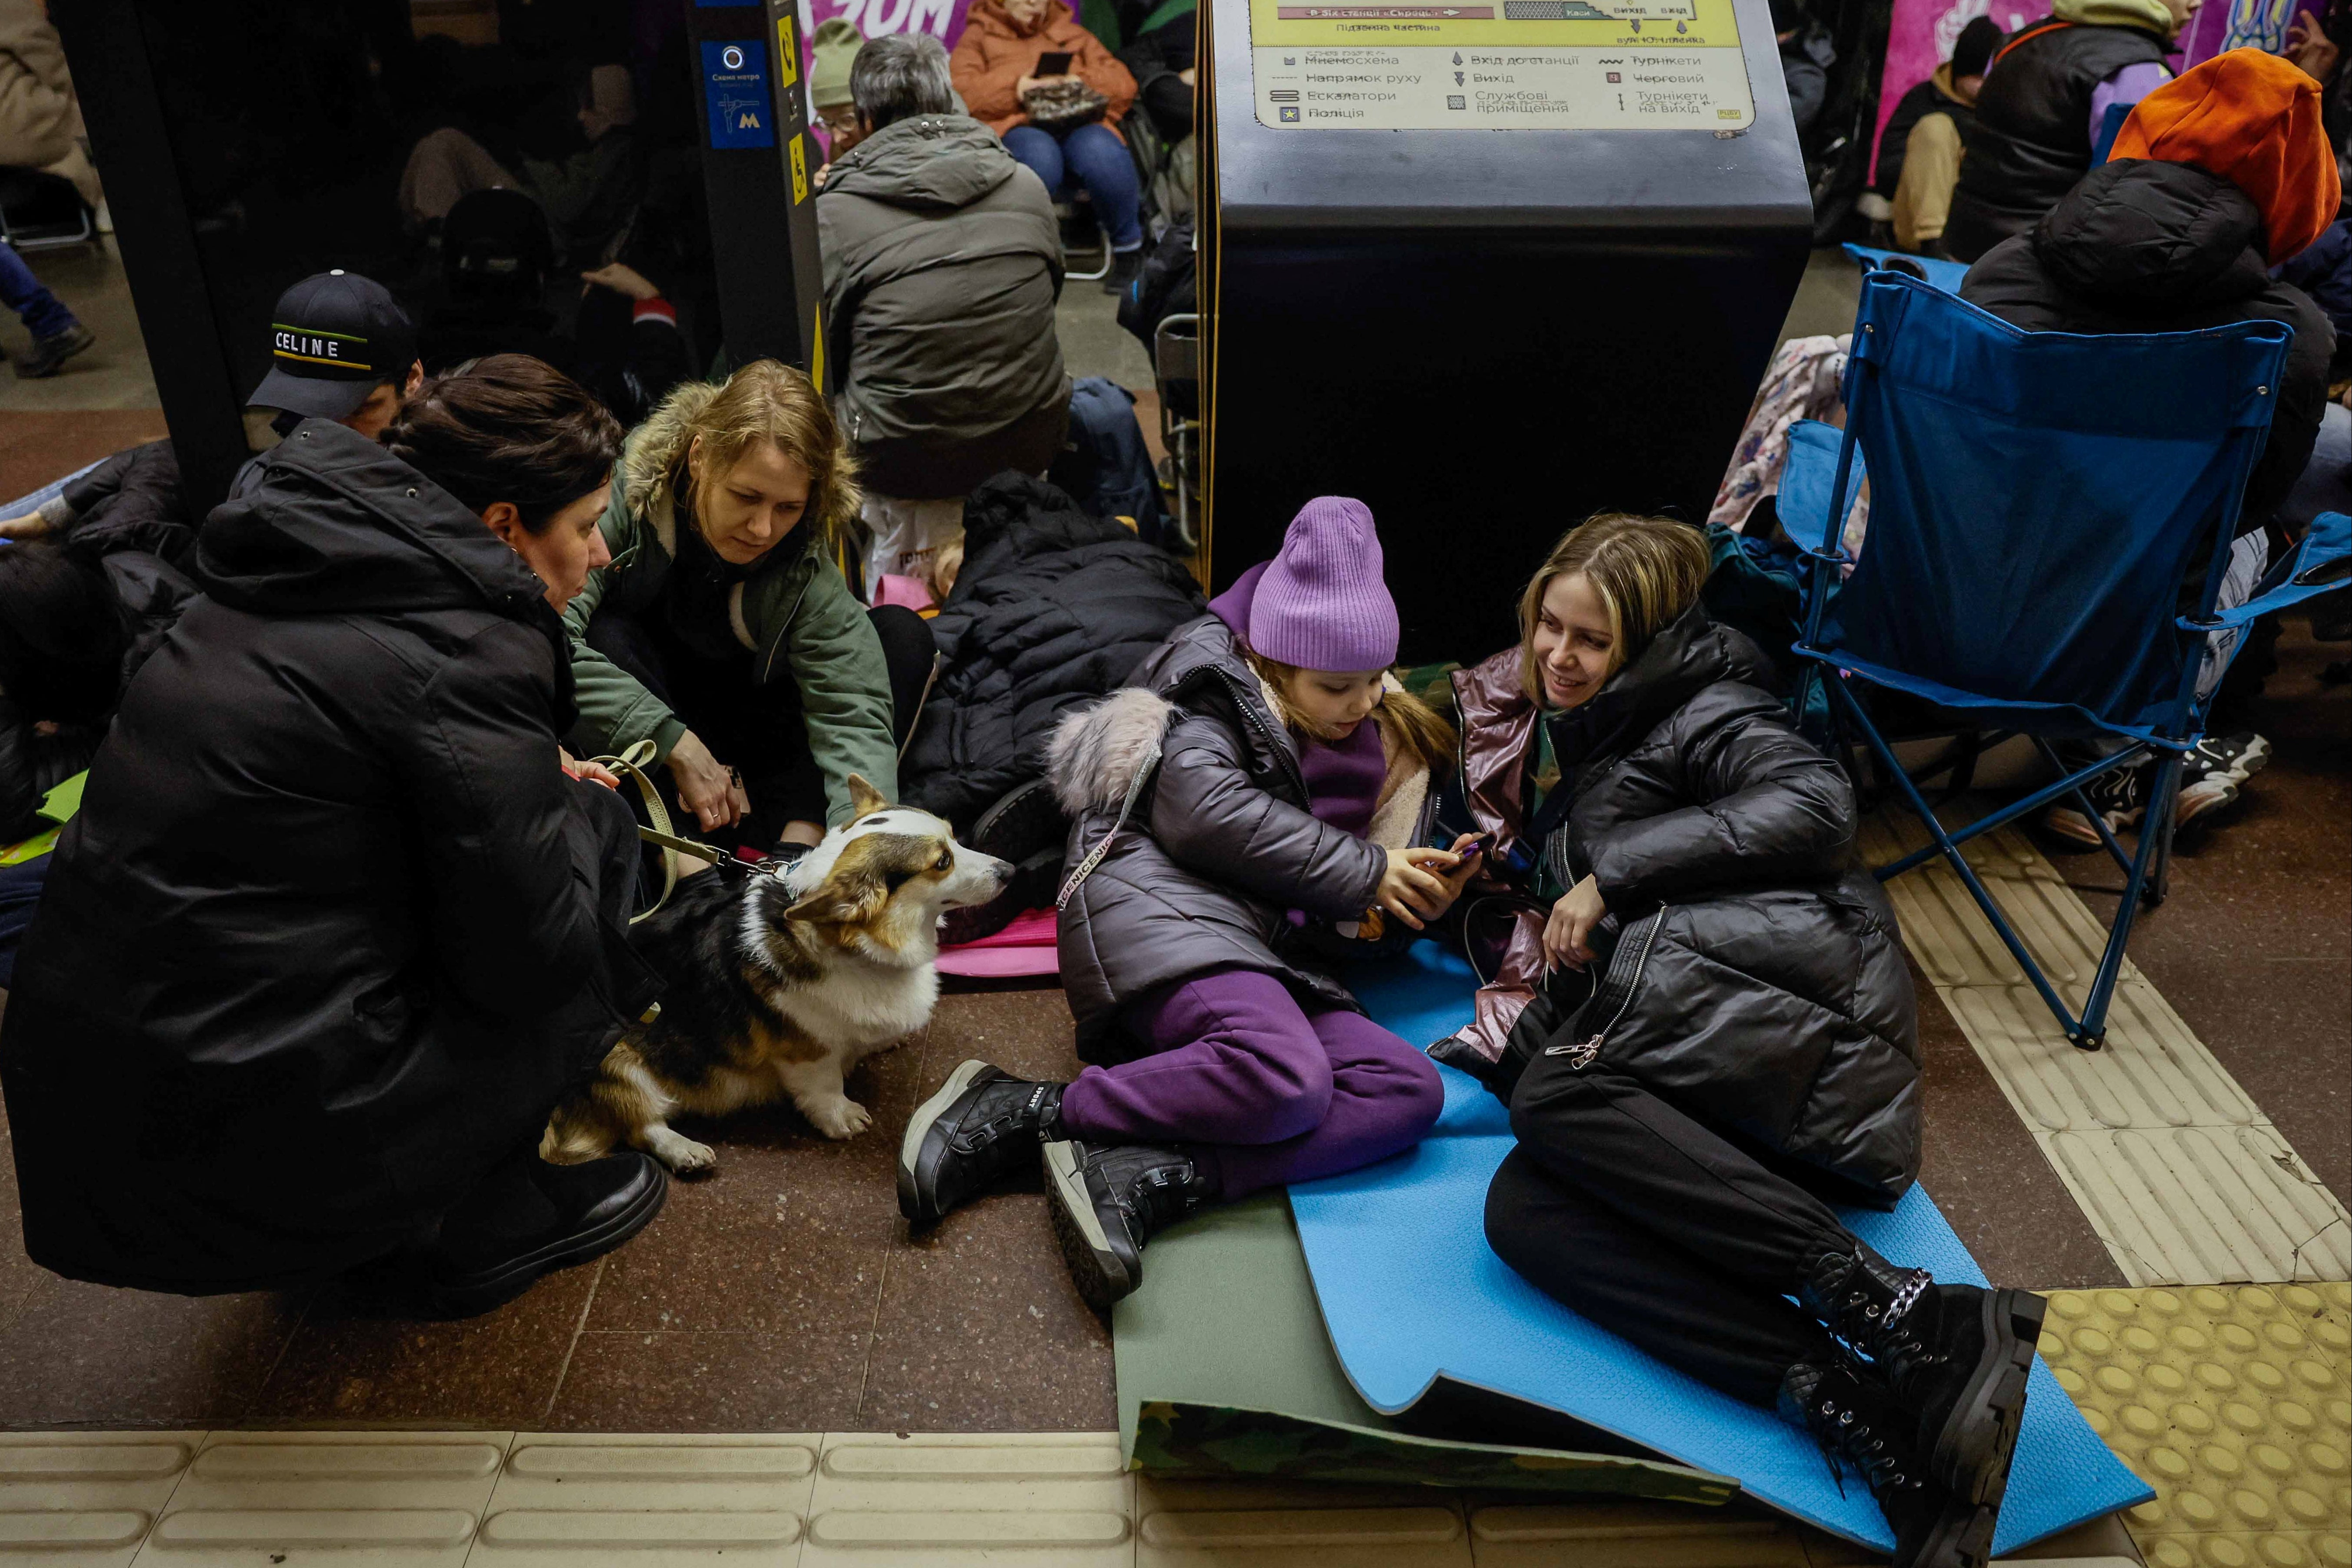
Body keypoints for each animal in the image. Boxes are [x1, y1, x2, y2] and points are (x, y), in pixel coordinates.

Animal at [546, 780, 1016, 1170]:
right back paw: (685, 1150)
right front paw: (842, 1117)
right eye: (942, 861)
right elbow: (824, 1084)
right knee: (641, 1125)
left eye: (953, 836)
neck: (855, 941)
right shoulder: (807, 1048)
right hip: (619, 1064)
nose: (1011, 871)